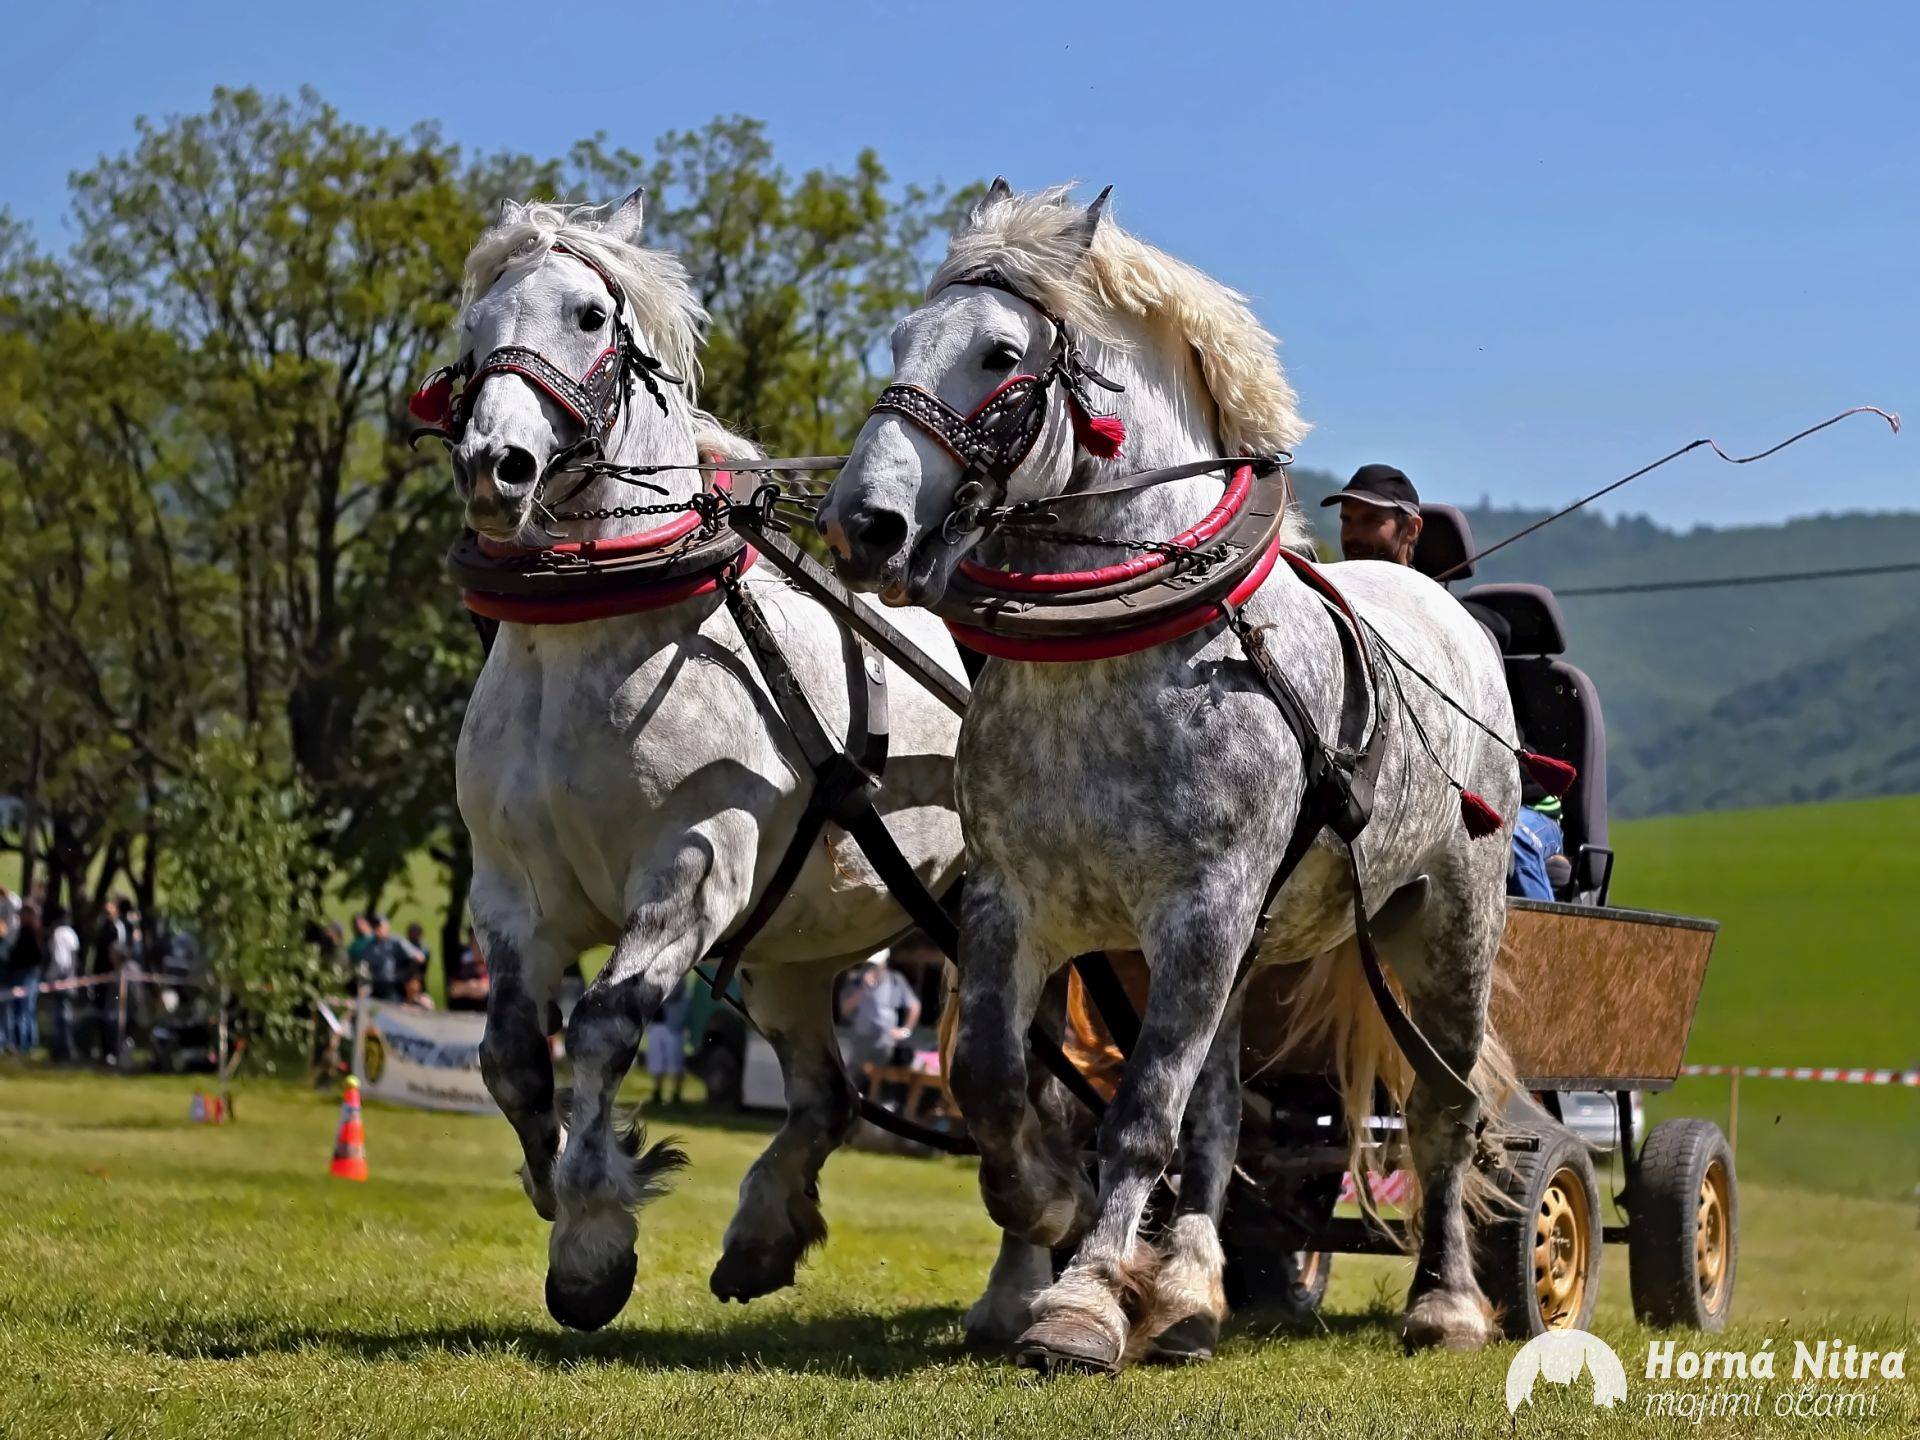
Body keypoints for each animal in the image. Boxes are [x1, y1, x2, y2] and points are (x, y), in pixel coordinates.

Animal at [817, 183, 1520, 1374]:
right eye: (903, 341)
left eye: (1000, 352)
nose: (864, 525)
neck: (1118, 652)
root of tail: (1450, 612)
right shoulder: (1017, 905)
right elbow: (996, 1084)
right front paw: (1048, 1215)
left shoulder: (1201, 911)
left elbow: (1142, 1111)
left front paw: (1086, 1302)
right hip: (1245, 952)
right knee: (1227, 1114)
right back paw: (1191, 1294)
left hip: (1447, 923)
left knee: (1442, 1111)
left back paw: (1448, 1303)